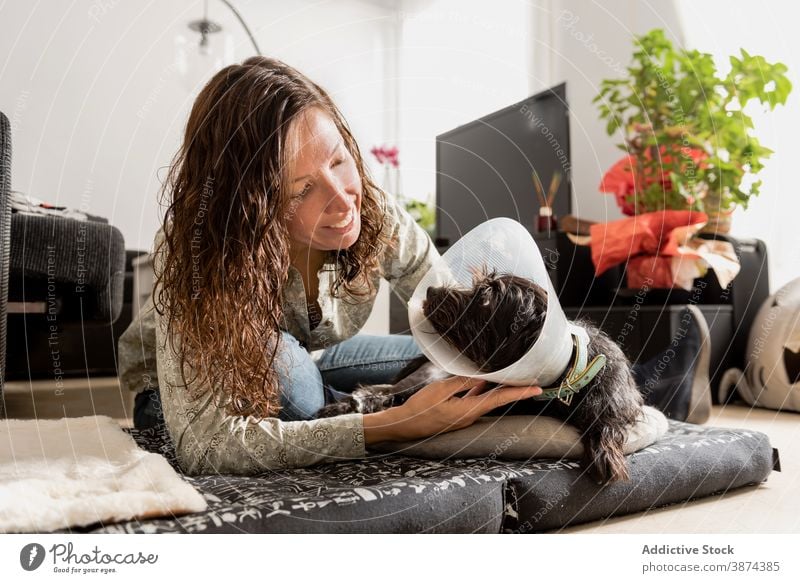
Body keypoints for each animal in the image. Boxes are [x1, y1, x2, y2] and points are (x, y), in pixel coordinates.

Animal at [316, 270, 648, 484]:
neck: (563, 375)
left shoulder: (618, 400)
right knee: (386, 391)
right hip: (427, 378)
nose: (431, 291)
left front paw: (605, 452)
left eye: (485, 299)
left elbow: (607, 421)